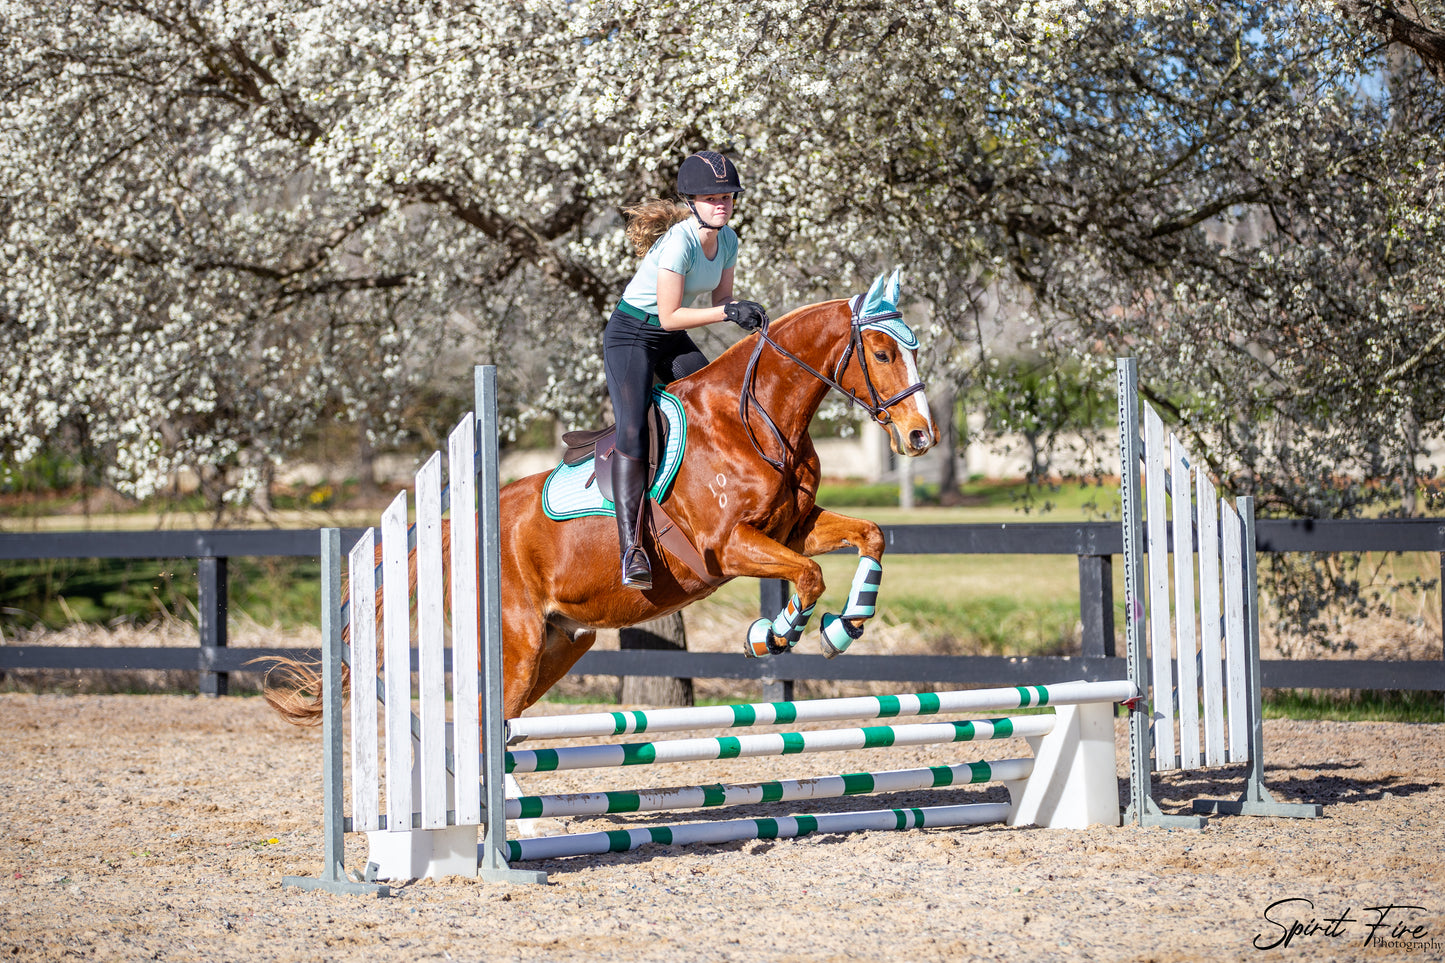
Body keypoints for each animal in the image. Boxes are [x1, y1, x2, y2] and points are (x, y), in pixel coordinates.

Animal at [262, 270, 936, 720]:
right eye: (881, 352)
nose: (920, 436)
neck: (757, 420)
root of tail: (461, 526)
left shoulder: (792, 529)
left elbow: (868, 536)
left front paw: (845, 627)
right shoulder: (729, 546)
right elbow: (809, 577)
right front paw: (772, 635)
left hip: (563, 643)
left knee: (504, 719)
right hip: (518, 644)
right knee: (485, 719)